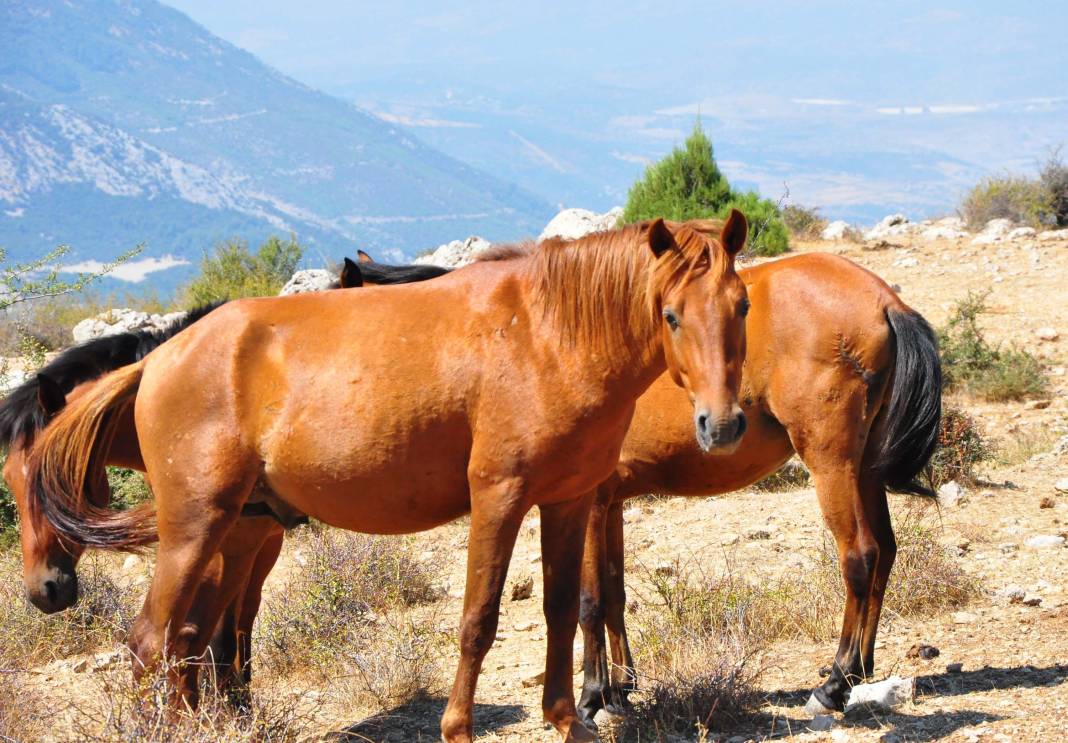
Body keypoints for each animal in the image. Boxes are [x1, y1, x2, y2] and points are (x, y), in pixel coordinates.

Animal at [22, 216, 751, 743]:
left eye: (741, 305)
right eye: (671, 314)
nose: (721, 424)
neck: (550, 333)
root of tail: (157, 361)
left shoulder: (569, 502)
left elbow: (563, 610)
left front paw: (569, 719)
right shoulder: (499, 497)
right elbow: (478, 620)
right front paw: (458, 728)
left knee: (179, 640)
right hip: (195, 528)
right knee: (153, 641)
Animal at [576, 250, 944, 725]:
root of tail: (885, 300)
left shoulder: (589, 505)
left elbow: (589, 601)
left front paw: (590, 698)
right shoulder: (610, 504)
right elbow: (613, 591)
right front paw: (620, 691)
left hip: (831, 464)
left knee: (861, 556)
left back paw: (834, 685)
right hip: (864, 469)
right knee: (886, 550)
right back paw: (860, 669)